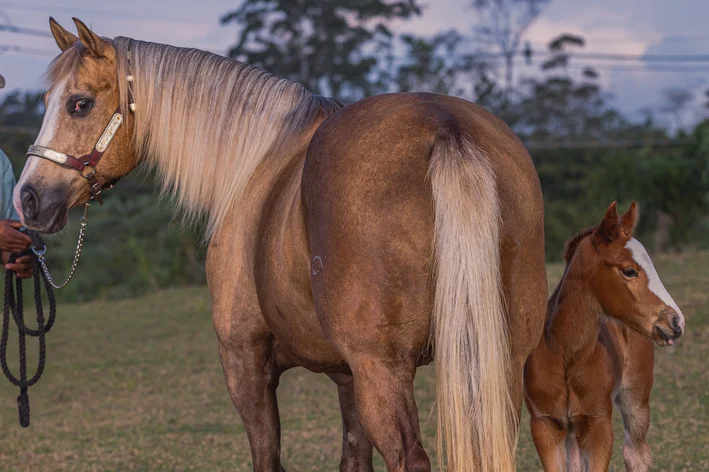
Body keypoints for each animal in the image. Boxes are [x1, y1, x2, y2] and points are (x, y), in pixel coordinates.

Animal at [15, 18, 548, 472]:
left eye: (79, 103)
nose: (28, 198)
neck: (253, 165)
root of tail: (444, 128)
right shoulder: (347, 377)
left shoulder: (246, 361)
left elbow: (267, 455)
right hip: (496, 366)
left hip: (385, 370)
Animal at [524, 201, 684, 470]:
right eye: (629, 271)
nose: (676, 321)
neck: (567, 355)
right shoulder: (544, 424)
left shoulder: (600, 423)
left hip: (636, 399)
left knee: (636, 453)